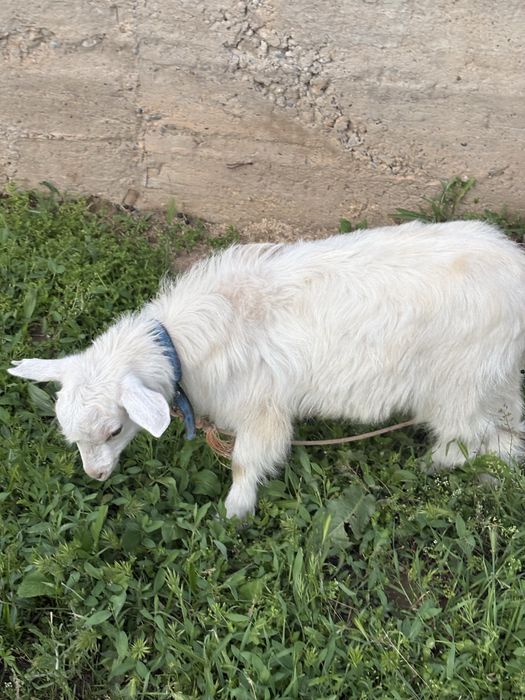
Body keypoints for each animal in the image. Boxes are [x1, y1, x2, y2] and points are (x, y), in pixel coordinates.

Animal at [8, 220, 525, 518]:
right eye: (71, 436)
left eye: (115, 430)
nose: (96, 476)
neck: (187, 341)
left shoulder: (261, 405)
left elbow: (245, 459)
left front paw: (236, 510)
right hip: (493, 374)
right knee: (504, 427)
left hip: (457, 379)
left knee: (463, 435)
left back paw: (431, 466)